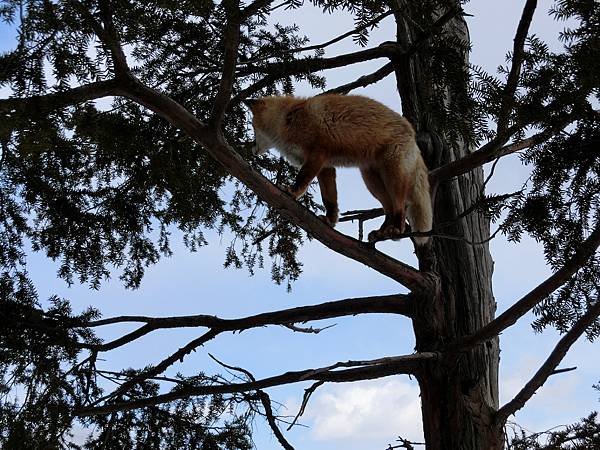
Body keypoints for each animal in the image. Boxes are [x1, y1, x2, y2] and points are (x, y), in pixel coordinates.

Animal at [245, 92, 436, 246]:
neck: (289, 119)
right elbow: (329, 199)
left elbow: (302, 179)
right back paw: (381, 232)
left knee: (401, 206)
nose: (251, 149)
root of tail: (412, 133)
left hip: (392, 177)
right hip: (372, 182)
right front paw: (330, 220)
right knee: (389, 209)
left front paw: (292, 192)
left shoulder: (317, 155)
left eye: (253, 127)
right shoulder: (326, 167)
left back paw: (395, 230)